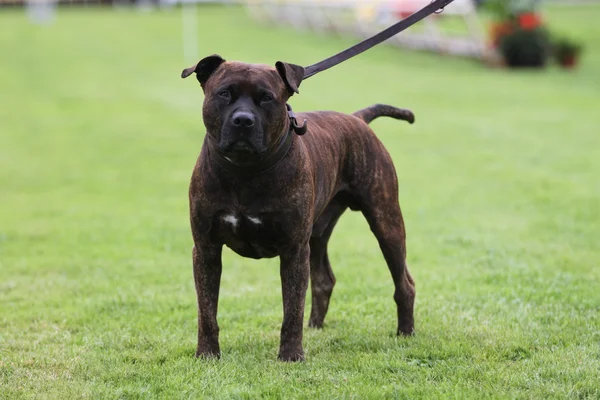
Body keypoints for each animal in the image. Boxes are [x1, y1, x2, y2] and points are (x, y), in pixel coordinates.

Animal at [183, 54, 414, 360]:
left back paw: (406, 332)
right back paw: (315, 327)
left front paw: (291, 355)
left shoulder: (293, 250)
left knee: (404, 282)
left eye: (267, 98)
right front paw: (208, 353)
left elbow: (292, 308)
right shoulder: (206, 248)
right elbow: (207, 310)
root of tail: (357, 118)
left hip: (386, 222)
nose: (243, 120)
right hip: (318, 233)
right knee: (324, 279)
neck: (246, 170)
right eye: (224, 94)